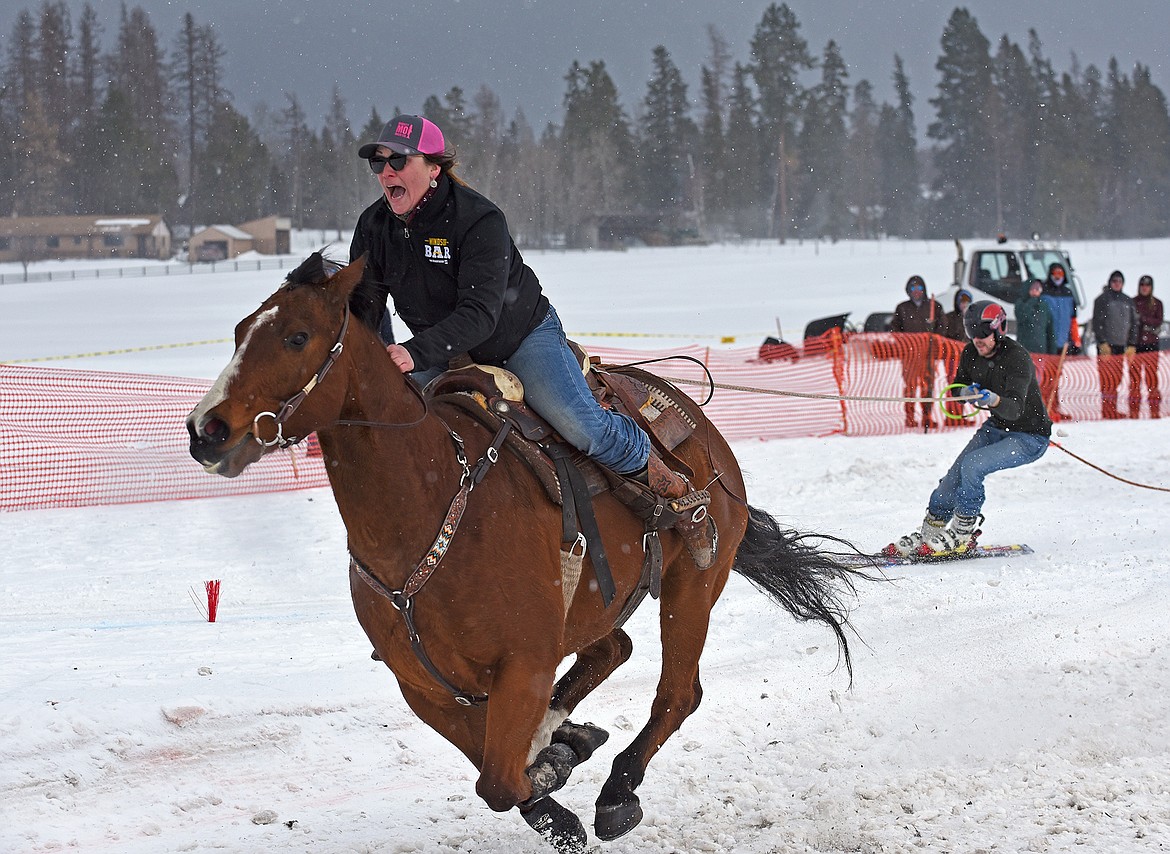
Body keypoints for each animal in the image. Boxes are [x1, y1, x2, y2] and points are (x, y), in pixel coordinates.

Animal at [187, 255, 870, 851]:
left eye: (298, 336)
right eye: (241, 332)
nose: (206, 430)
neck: (431, 506)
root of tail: (694, 422)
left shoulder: (525, 661)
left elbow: (498, 778)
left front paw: (555, 774)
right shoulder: (425, 687)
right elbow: (489, 762)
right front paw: (560, 759)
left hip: (691, 586)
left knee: (678, 693)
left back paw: (616, 791)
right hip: (594, 604)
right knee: (614, 651)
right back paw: (571, 736)